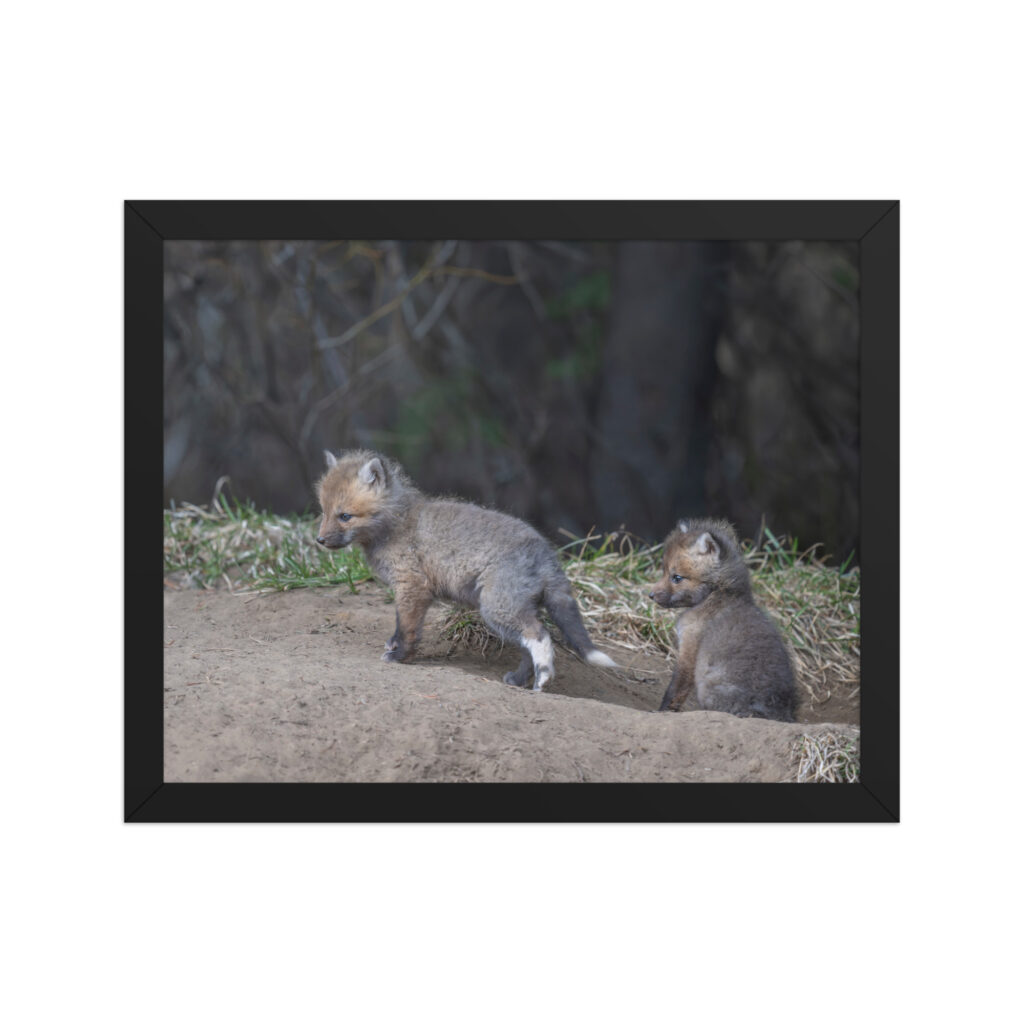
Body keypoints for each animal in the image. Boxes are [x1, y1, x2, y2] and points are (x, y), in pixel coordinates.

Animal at [315, 449, 618, 691]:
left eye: (345, 516)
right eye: (324, 512)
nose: (319, 540)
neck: (396, 524)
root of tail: (547, 553)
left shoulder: (412, 586)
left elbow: (407, 627)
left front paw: (400, 656)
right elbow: (401, 625)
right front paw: (395, 647)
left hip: (497, 608)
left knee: (540, 636)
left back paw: (543, 680)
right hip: (511, 612)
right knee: (527, 647)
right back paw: (520, 680)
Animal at [648, 518, 795, 722]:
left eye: (676, 577)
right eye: (663, 571)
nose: (650, 595)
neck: (718, 594)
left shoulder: (689, 650)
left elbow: (674, 690)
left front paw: (662, 712)